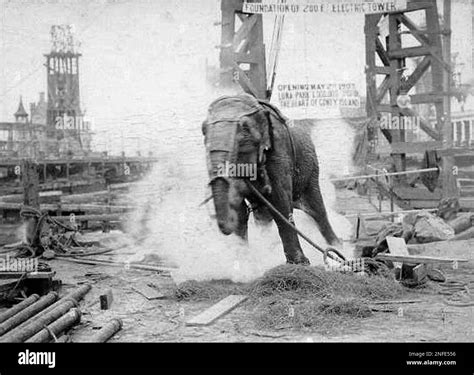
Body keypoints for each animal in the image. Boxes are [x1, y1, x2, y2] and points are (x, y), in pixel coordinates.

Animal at [201, 93, 340, 266]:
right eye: (203, 130)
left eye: (244, 128)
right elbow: (240, 209)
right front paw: (243, 263)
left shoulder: (279, 152)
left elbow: (280, 203)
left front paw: (299, 264)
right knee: (262, 215)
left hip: (311, 169)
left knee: (317, 210)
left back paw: (338, 248)